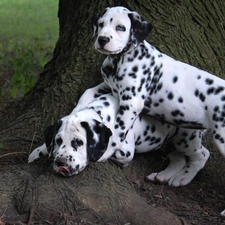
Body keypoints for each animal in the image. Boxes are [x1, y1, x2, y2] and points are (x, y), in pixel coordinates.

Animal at [28, 93, 209, 186]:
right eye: (58, 141)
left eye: (78, 142)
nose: (61, 163)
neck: (102, 110)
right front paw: (38, 152)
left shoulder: (126, 152)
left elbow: (110, 154)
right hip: (170, 144)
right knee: (178, 159)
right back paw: (163, 176)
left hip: (185, 139)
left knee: (202, 155)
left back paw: (183, 177)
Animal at [74, 5, 225, 163]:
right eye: (101, 24)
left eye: (120, 27)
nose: (102, 39)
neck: (119, 61)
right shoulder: (109, 86)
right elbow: (88, 92)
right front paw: (75, 112)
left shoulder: (131, 103)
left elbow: (117, 132)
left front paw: (106, 151)